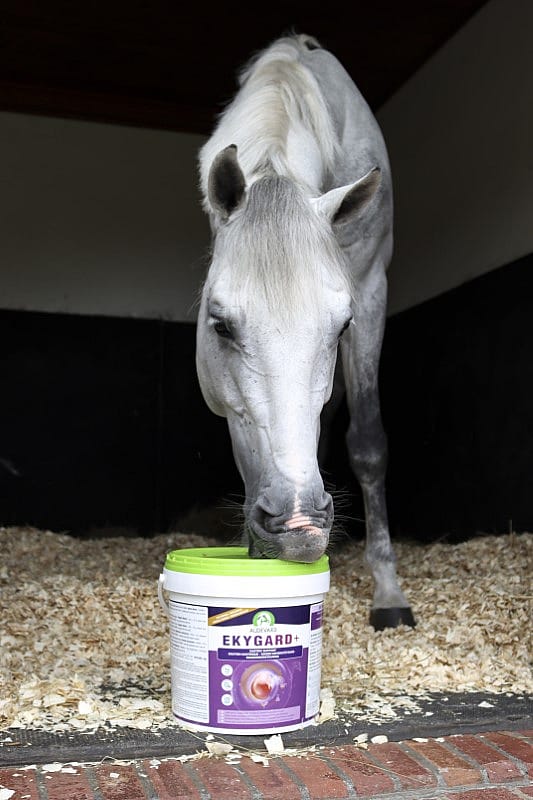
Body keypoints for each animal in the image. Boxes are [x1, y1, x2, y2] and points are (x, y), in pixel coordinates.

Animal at [196, 33, 415, 629]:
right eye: (220, 324)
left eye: (341, 327)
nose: (299, 523)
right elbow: (248, 455)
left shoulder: (370, 290)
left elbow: (368, 443)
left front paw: (388, 592)